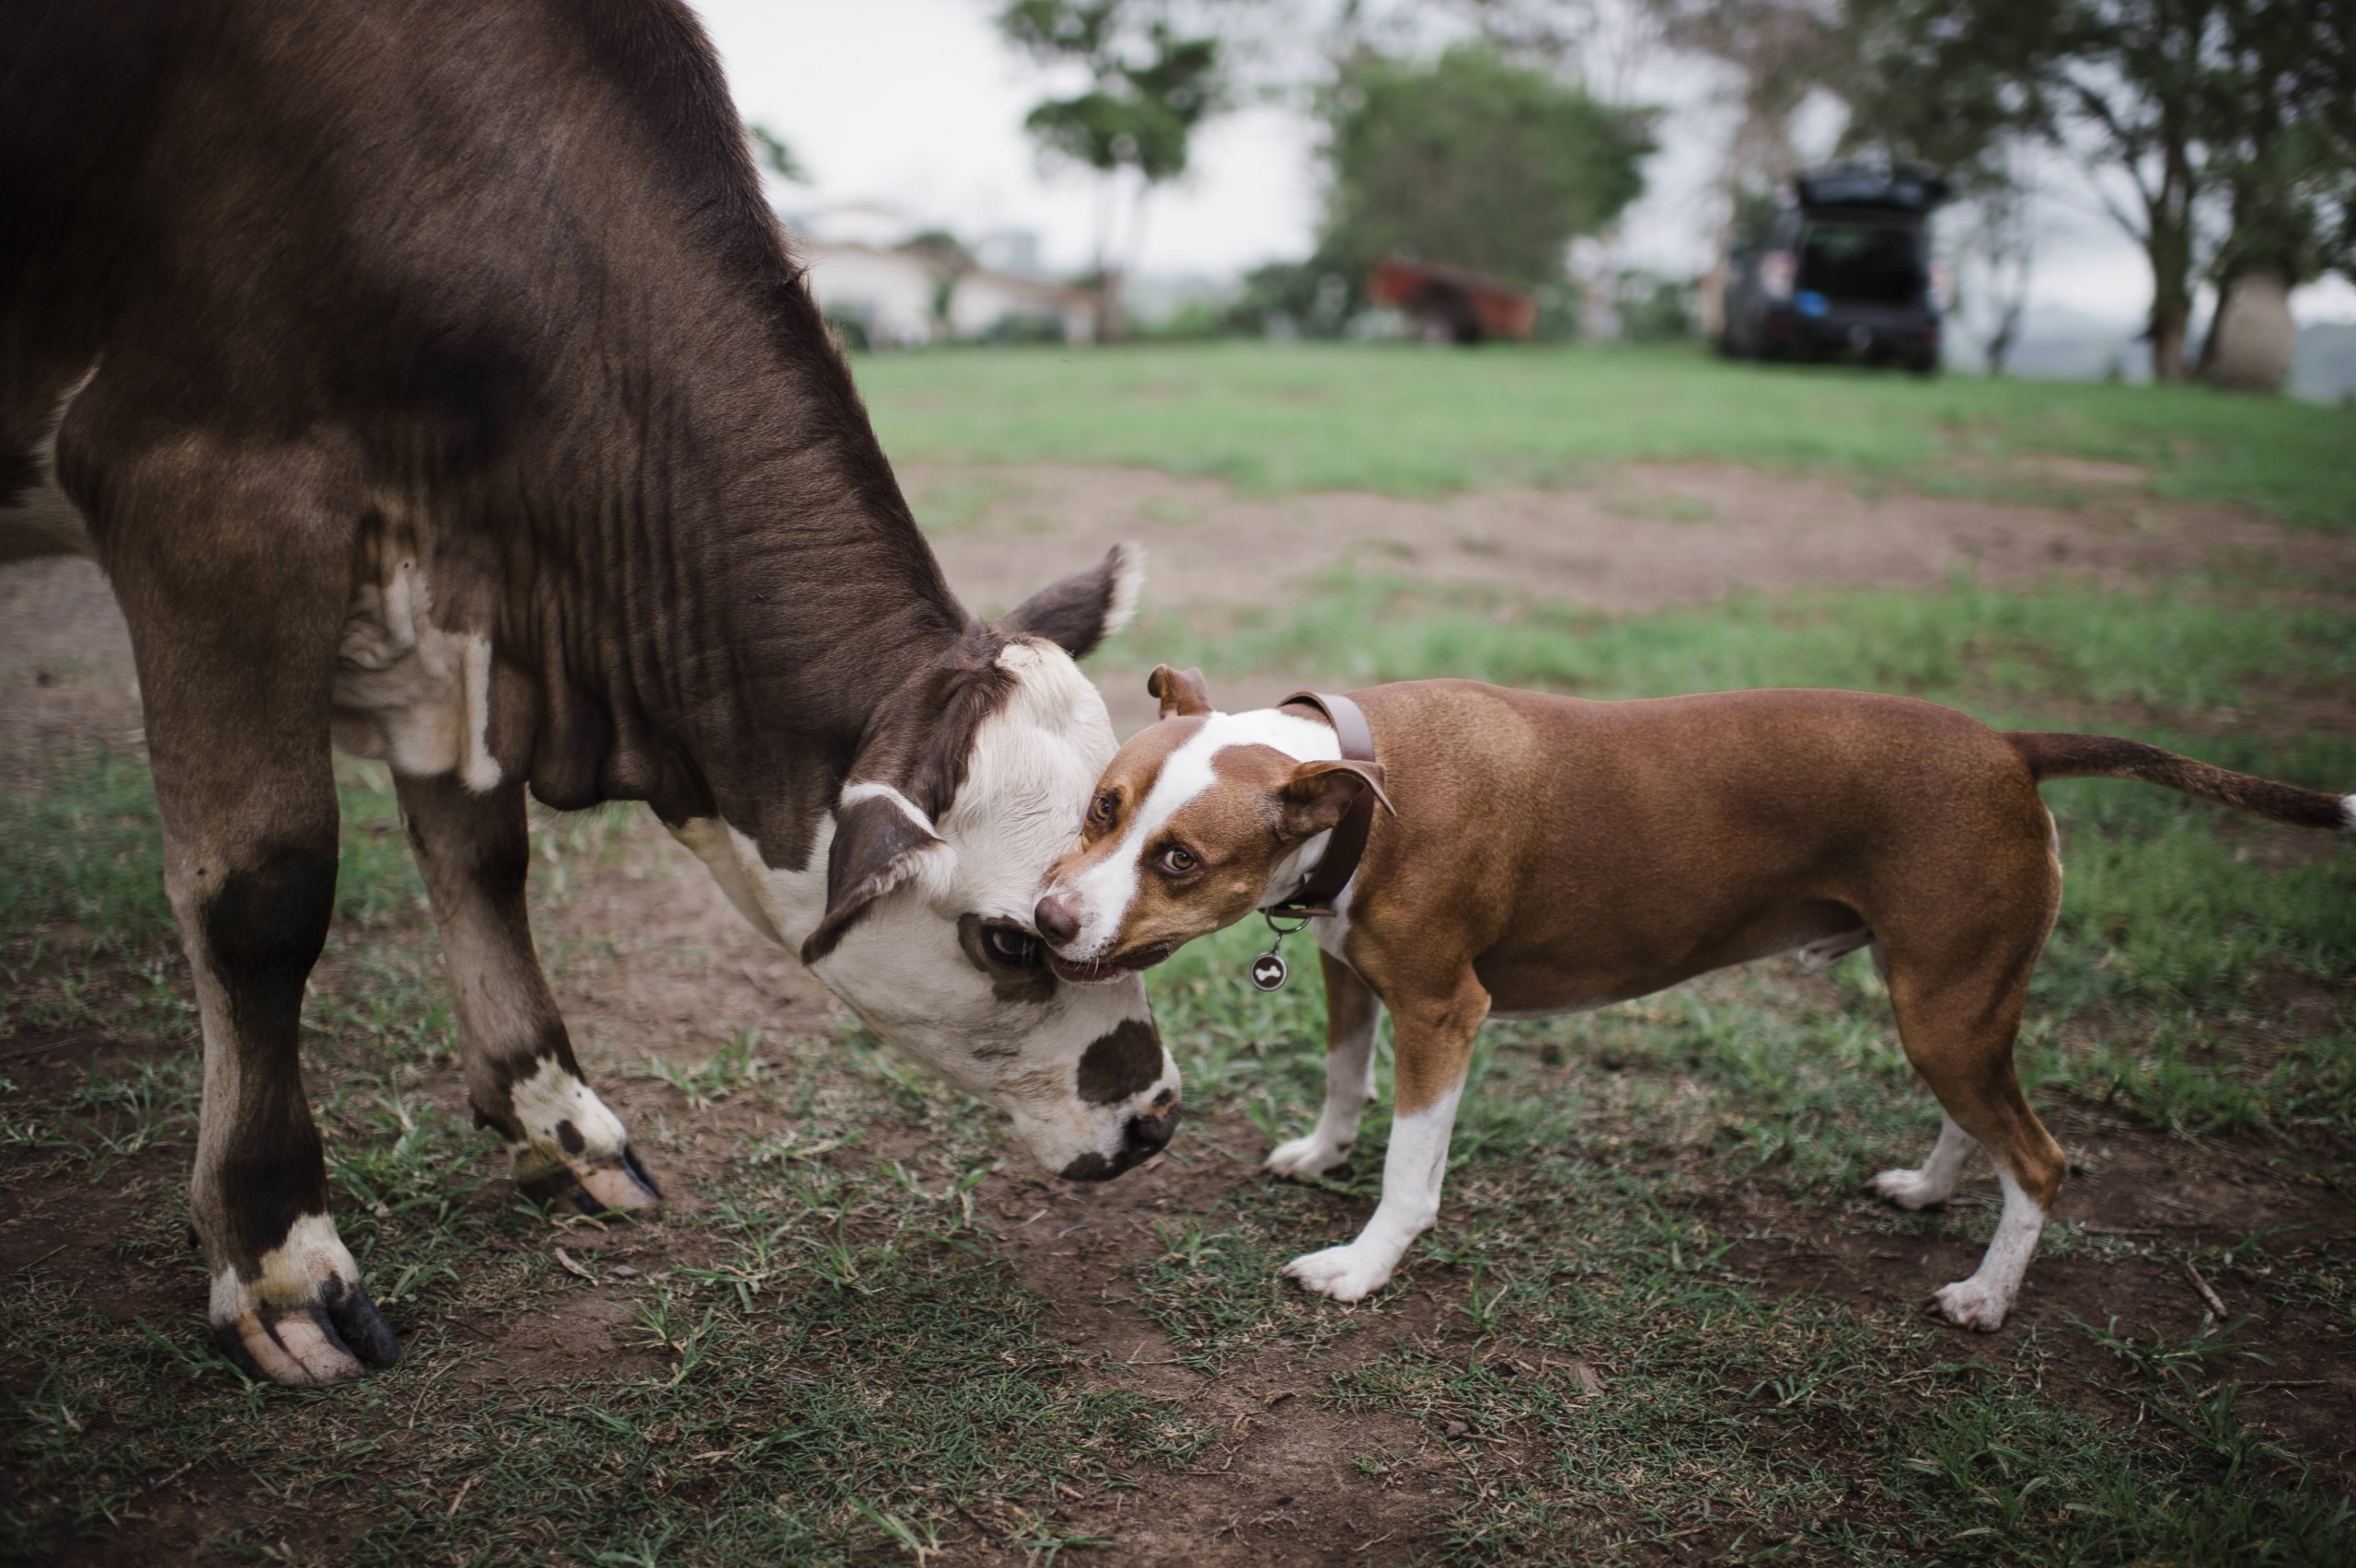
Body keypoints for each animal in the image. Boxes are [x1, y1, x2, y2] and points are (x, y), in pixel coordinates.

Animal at [0, 0, 1178, 1384]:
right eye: (1006, 940)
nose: (1154, 1120)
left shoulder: (458, 621)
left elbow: (482, 856)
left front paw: (553, 1117)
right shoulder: (205, 505)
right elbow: (263, 899)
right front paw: (276, 1253)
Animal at [1036, 663, 2356, 1328]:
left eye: (1178, 860)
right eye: (1101, 807)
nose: (1044, 926)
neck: (1358, 780)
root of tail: (2006, 747)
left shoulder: (1443, 1014)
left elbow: (1412, 1170)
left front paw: (1361, 1267)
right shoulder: (1348, 971)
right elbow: (1342, 1082)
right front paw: (1321, 1154)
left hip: (1943, 1000)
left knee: (2038, 1154)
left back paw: (1986, 1294)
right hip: (1952, 996)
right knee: (1980, 1117)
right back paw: (1933, 1189)